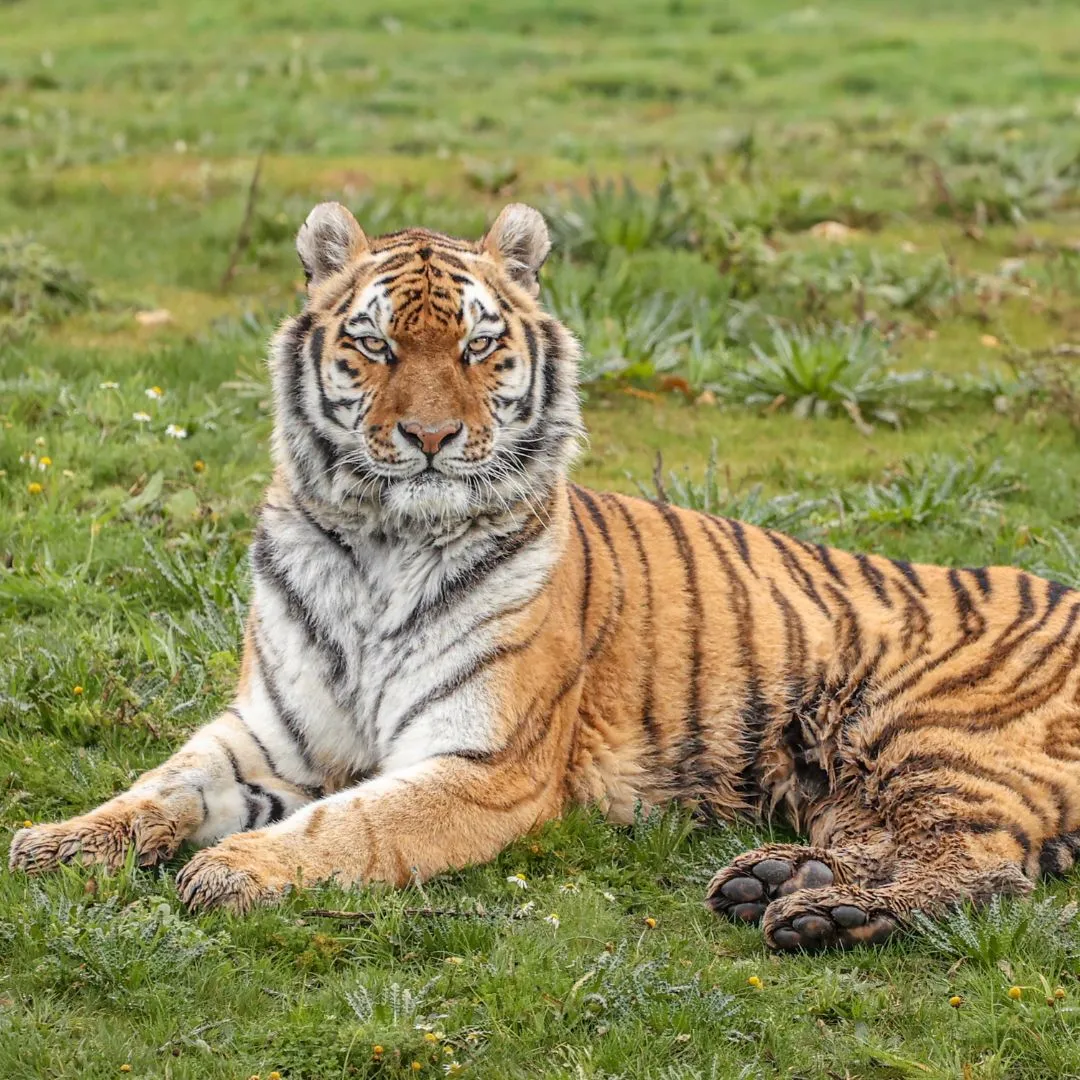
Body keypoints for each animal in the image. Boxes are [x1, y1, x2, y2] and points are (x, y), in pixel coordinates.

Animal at [10, 201, 1080, 952]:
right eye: (375, 343)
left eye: (479, 346)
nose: (430, 437)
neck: (379, 547)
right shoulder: (271, 731)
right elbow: (162, 786)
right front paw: (55, 841)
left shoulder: (485, 766)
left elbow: (349, 826)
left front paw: (234, 872)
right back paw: (777, 882)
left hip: (924, 730)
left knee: (985, 864)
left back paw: (825, 917)